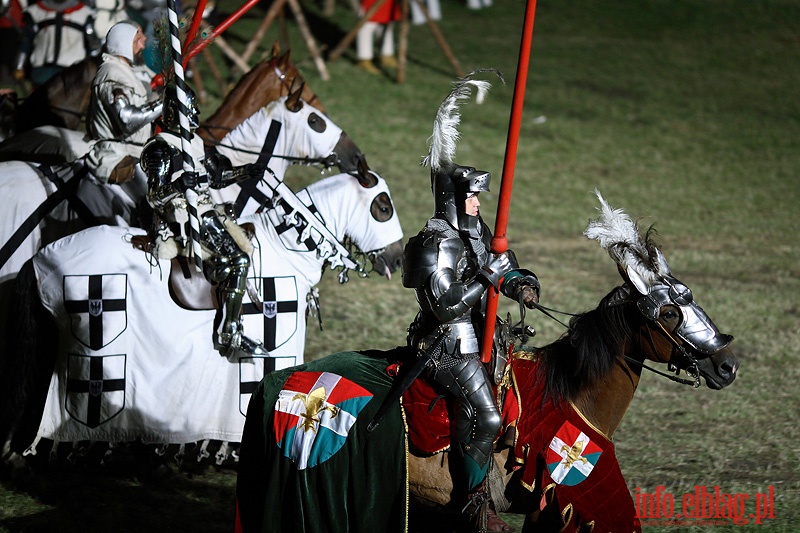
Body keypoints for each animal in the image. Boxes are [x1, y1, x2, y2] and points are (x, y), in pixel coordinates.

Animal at [236, 194, 736, 532]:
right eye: (668, 312)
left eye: (690, 296)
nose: (727, 364)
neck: (572, 393)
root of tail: (277, 383)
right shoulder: (572, 501)